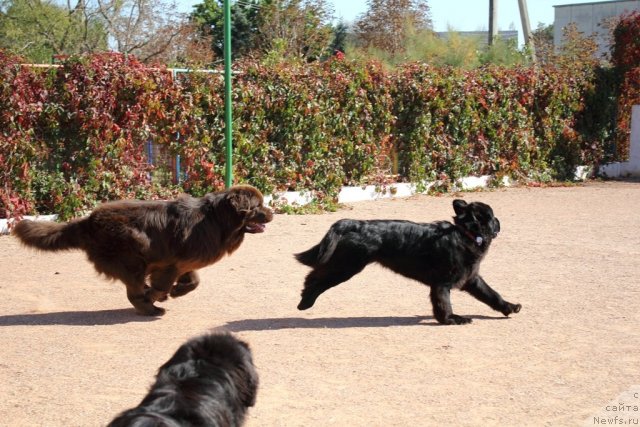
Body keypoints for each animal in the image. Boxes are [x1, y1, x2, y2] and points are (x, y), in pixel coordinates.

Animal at [13, 186, 272, 316]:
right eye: (258, 206)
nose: (271, 213)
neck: (216, 220)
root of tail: (89, 221)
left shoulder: (186, 262)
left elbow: (194, 281)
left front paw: (178, 290)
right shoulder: (170, 264)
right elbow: (162, 285)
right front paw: (158, 295)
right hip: (133, 254)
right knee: (133, 291)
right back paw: (150, 309)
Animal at [296, 199, 520, 326]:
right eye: (492, 217)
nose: (498, 222)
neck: (465, 234)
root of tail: (354, 223)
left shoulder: (471, 278)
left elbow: (492, 295)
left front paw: (509, 307)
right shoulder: (442, 283)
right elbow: (444, 304)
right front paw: (452, 319)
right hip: (347, 266)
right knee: (315, 278)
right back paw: (305, 302)